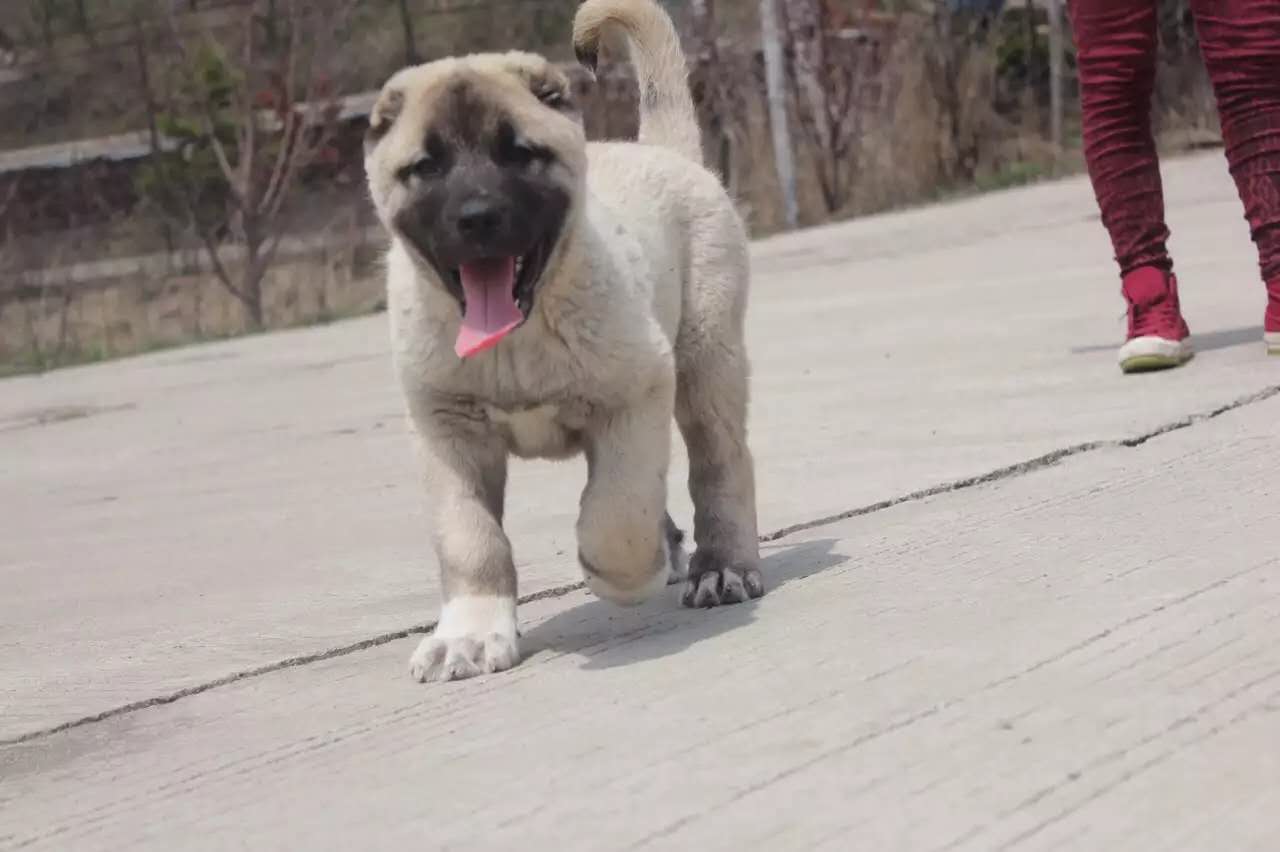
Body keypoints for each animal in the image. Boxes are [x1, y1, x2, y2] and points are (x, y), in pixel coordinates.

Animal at [360, 0, 757, 680]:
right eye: (426, 167)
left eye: (519, 153)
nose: (476, 218)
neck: (516, 339)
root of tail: (663, 151)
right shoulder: (445, 430)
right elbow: (470, 538)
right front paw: (469, 633)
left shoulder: (635, 395)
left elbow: (615, 511)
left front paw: (627, 571)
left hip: (708, 362)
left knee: (721, 463)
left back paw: (722, 568)